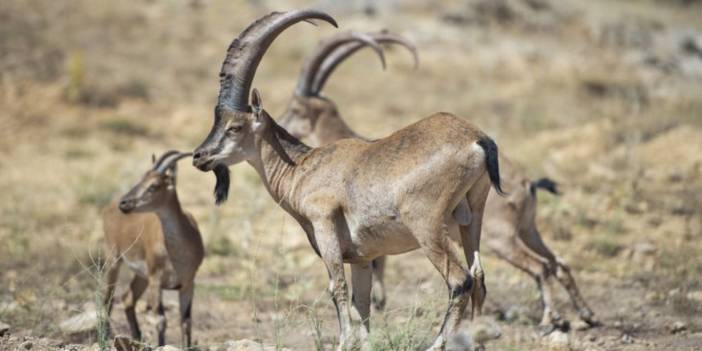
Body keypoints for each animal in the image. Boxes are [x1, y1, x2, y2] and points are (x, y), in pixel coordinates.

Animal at [103, 151, 205, 350]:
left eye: (154, 185)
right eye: (142, 178)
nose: (124, 203)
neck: (177, 253)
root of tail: (108, 208)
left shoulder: (188, 283)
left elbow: (186, 322)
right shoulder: (155, 281)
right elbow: (161, 320)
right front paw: (161, 345)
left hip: (141, 277)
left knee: (127, 298)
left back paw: (136, 337)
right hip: (114, 260)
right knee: (108, 299)